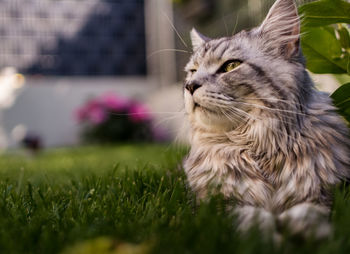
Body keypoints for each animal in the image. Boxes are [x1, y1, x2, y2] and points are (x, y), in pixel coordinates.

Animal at [182, 0, 350, 239]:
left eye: (231, 66)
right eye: (193, 71)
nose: (190, 85)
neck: (258, 147)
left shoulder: (328, 194)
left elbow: (309, 212)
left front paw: (305, 231)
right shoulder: (216, 203)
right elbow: (249, 217)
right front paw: (268, 236)